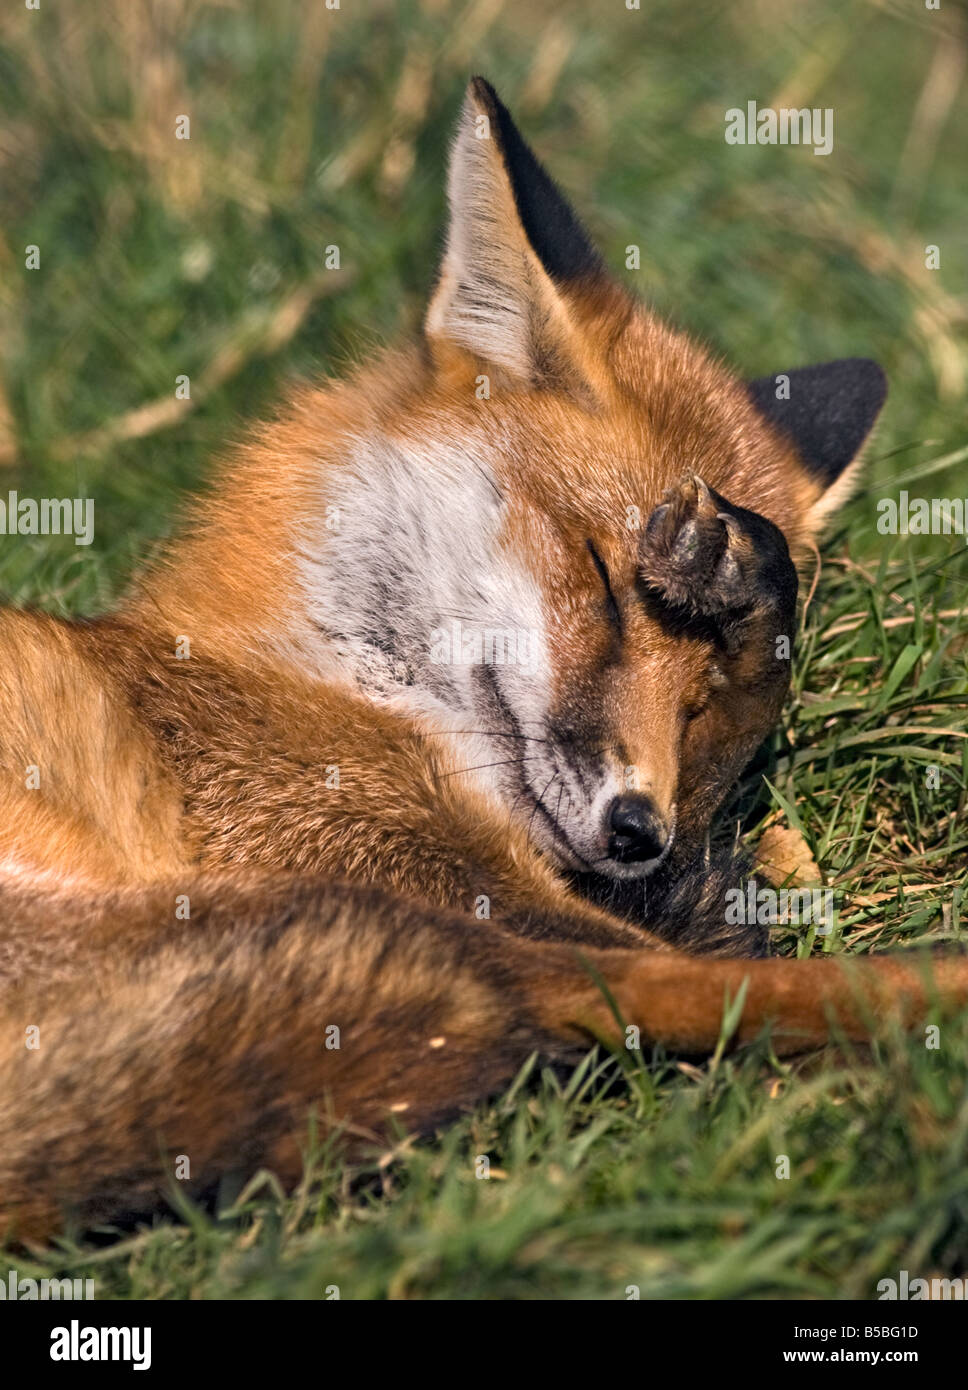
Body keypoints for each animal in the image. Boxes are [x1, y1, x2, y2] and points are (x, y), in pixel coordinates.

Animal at [1, 81, 968, 1245]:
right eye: (602, 578)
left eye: (691, 705)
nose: (638, 832)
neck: (316, 675)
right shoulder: (363, 855)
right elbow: (739, 965)